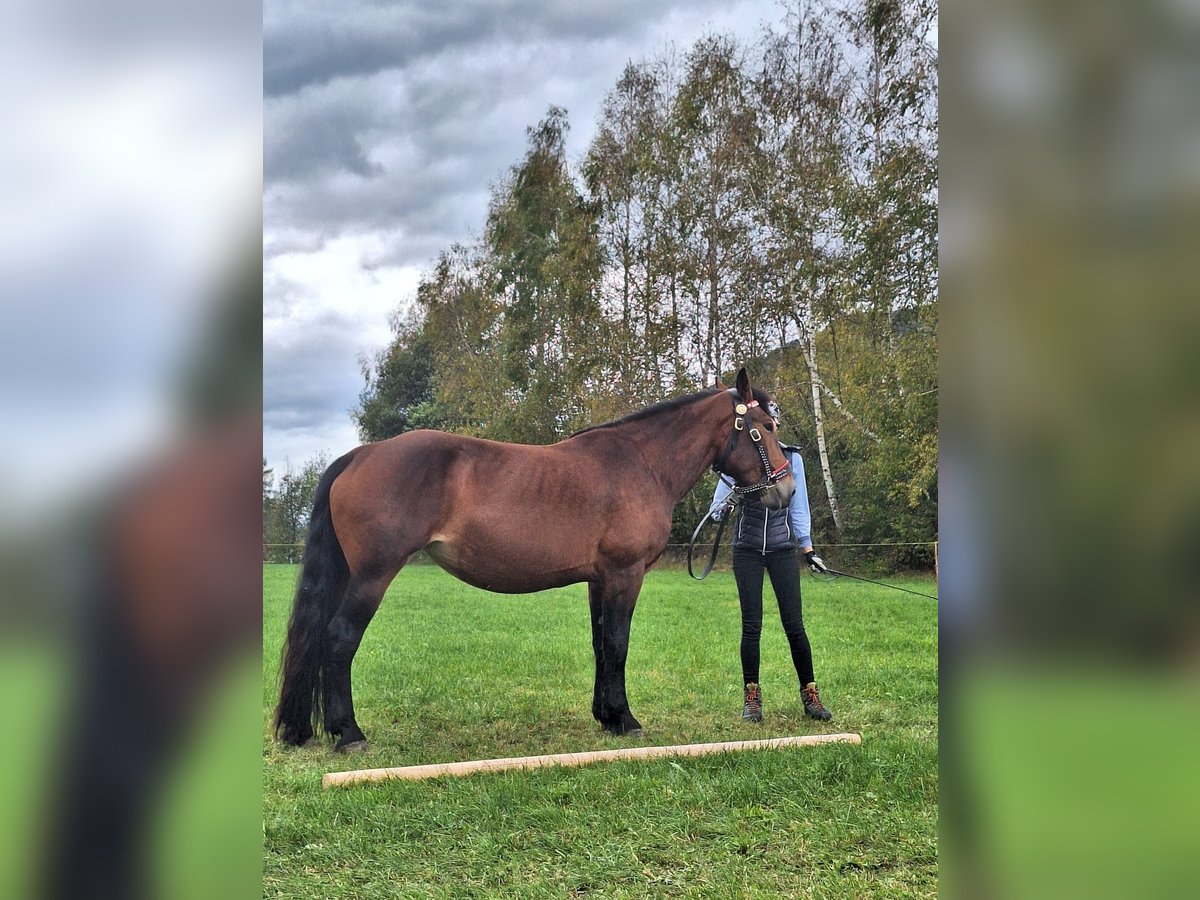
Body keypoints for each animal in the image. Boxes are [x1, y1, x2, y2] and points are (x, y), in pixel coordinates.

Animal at [276, 369, 792, 748]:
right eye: (765, 429)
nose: (785, 490)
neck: (641, 463)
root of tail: (360, 455)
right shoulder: (624, 575)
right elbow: (618, 644)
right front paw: (625, 720)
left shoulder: (599, 579)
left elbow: (601, 644)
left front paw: (605, 716)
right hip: (372, 575)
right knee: (340, 638)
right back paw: (348, 734)